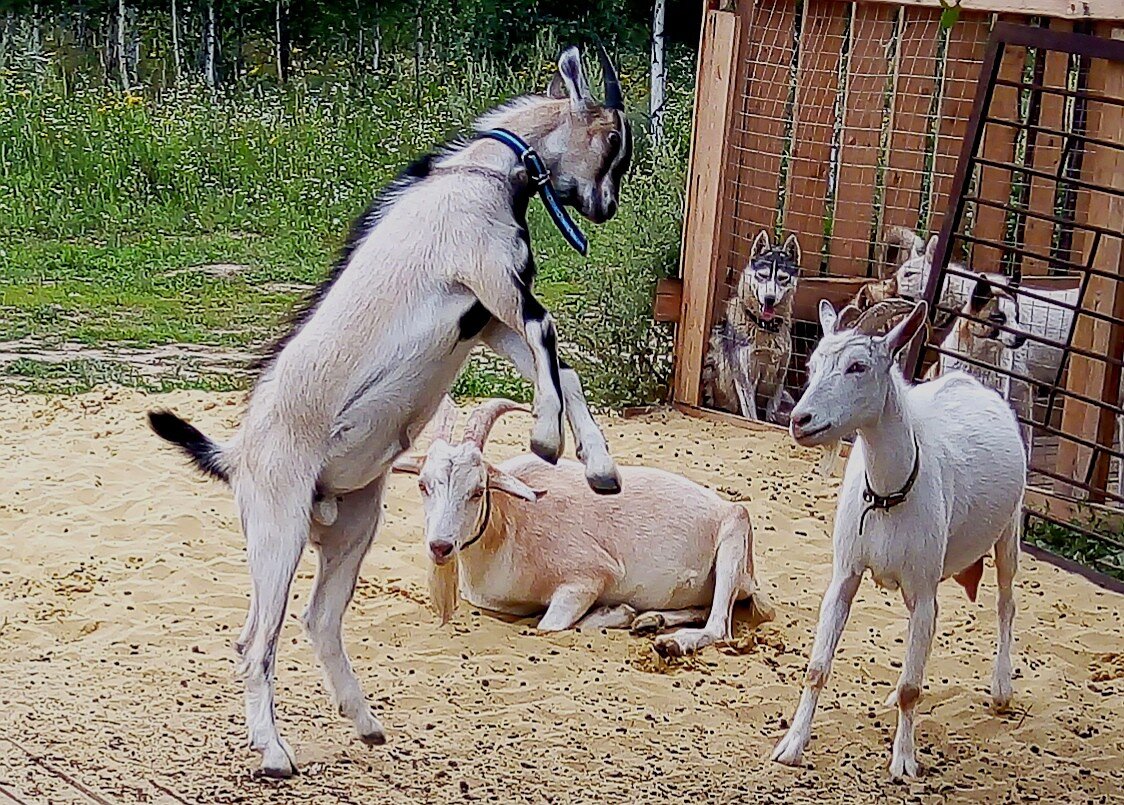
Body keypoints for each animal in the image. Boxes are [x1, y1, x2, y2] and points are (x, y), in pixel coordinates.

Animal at [147, 45, 633, 778]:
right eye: (611, 142)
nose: (605, 208)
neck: (482, 175)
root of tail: (237, 454)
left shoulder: (485, 320)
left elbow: (564, 370)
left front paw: (599, 468)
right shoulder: (492, 279)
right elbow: (550, 342)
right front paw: (548, 438)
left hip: (352, 523)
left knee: (317, 620)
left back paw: (364, 723)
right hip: (277, 526)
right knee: (255, 637)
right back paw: (274, 752)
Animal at [393, 395, 773, 652]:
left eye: (477, 490)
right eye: (423, 484)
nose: (440, 546)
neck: (511, 517)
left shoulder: (588, 578)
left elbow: (547, 627)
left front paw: (618, 611)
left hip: (734, 536)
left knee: (719, 626)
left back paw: (672, 642)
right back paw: (651, 621)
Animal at [701, 229, 800, 424]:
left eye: (783, 278)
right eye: (762, 275)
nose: (769, 298)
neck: (764, 327)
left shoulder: (779, 379)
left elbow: (772, 409)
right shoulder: (746, 380)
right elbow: (752, 416)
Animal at [773, 299, 1029, 778]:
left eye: (858, 366)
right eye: (812, 364)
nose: (800, 420)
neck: (888, 494)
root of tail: (976, 384)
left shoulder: (922, 586)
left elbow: (913, 685)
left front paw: (904, 761)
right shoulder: (845, 574)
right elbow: (817, 668)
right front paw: (792, 745)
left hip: (1009, 530)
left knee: (1006, 601)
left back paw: (1001, 687)